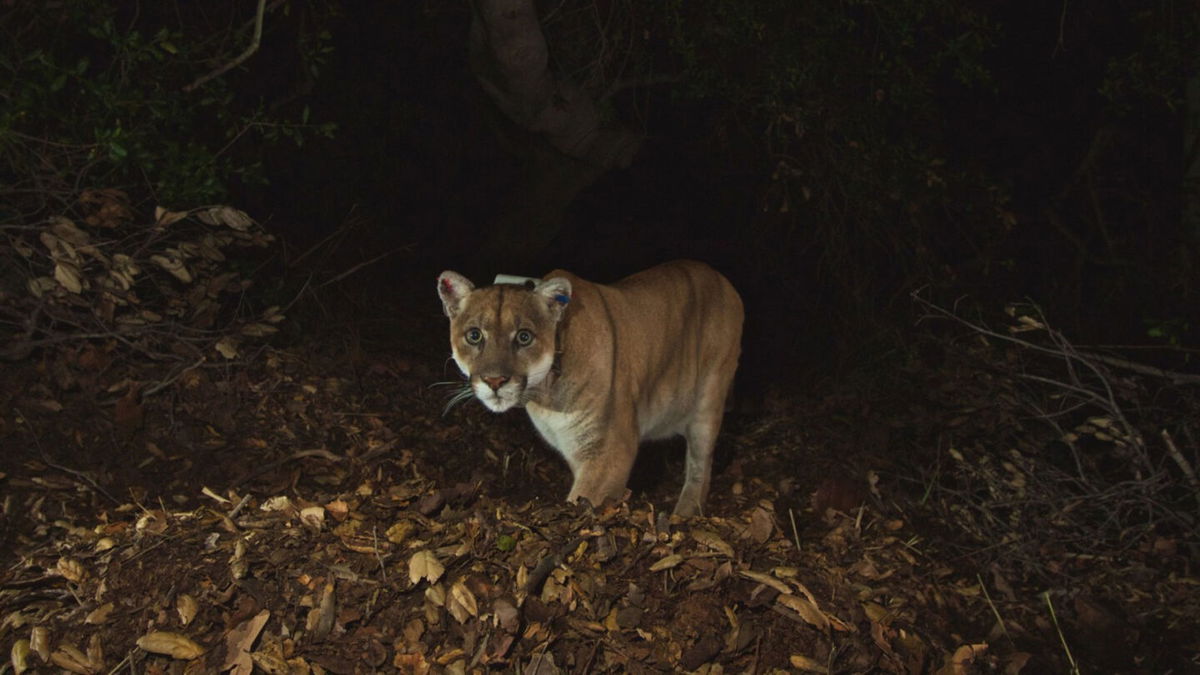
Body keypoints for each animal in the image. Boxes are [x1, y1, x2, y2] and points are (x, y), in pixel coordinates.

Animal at [439, 260, 739, 511]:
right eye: (474, 335)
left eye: (524, 337)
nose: (495, 380)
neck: (545, 394)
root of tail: (719, 275)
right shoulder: (575, 447)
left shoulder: (609, 450)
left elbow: (583, 501)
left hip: (709, 399)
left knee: (701, 467)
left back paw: (684, 513)